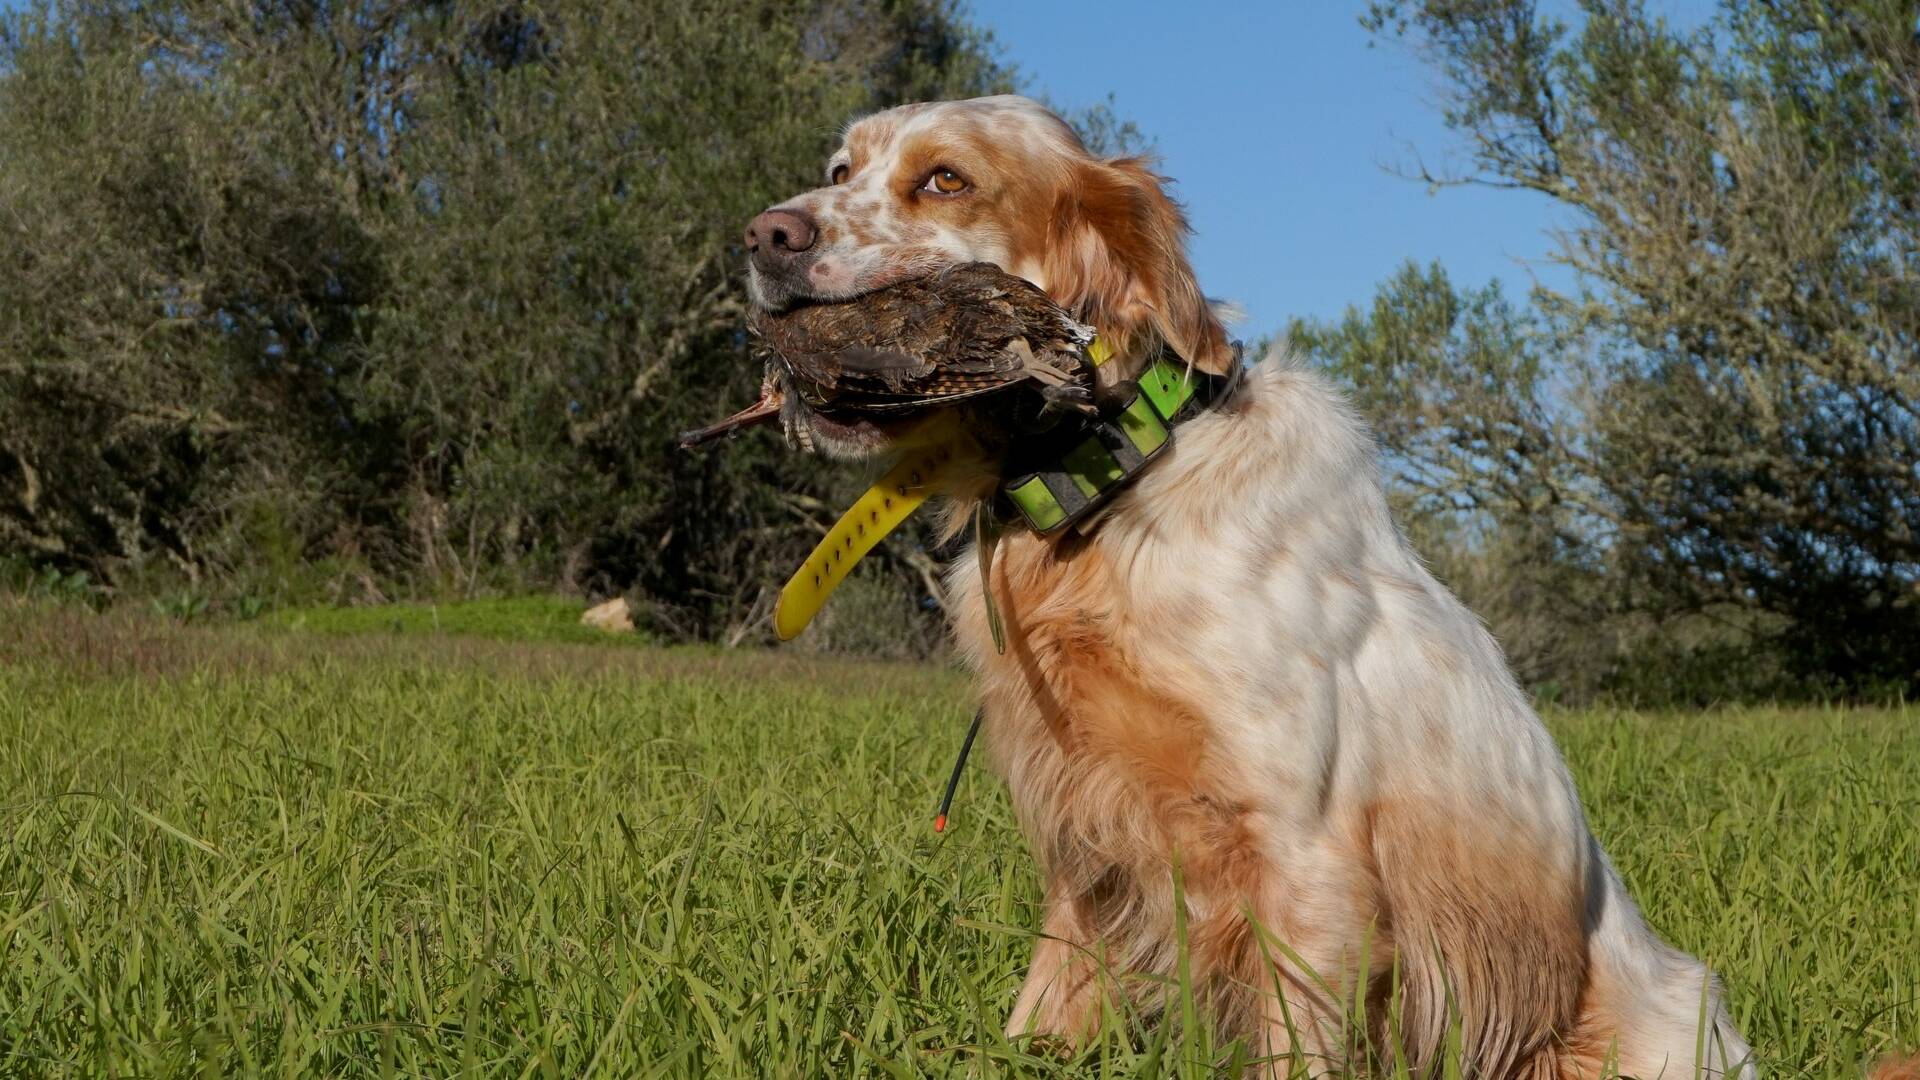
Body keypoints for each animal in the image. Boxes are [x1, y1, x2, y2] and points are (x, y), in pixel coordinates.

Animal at [741, 94, 1758, 1076]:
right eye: (842, 168)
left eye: (946, 179)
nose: (763, 235)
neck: (1115, 492)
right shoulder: (1088, 848)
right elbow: (1042, 1009)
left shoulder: (1303, 859)